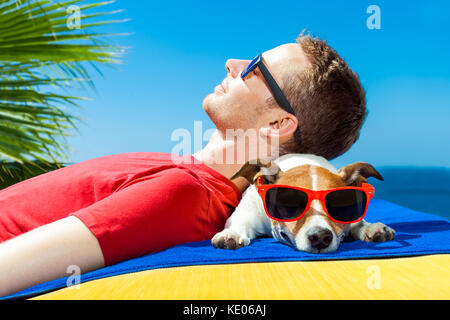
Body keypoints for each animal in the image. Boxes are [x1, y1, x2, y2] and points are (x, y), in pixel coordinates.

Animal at [213, 154, 396, 254]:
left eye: (337, 204)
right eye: (289, 203)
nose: (320, 237)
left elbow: (357, 222)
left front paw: (370, 227)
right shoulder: (247, 213)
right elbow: (238, 223)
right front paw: (232, 234)